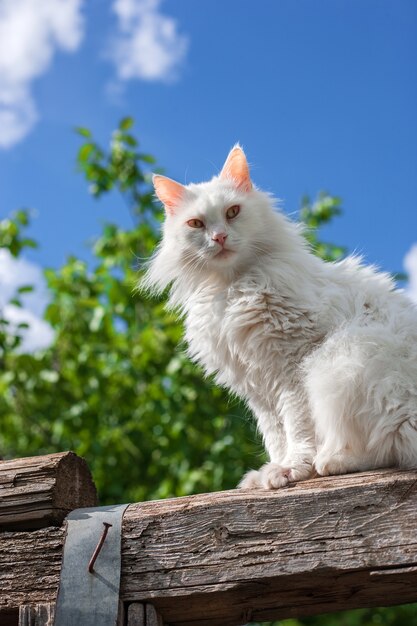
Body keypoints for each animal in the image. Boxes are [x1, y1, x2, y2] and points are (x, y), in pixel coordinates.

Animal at [142, 146, 416, 488]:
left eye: (232, 213)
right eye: (196, 224)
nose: (219, 237)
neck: (232, 288)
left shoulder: (293, 366)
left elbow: (298, 430)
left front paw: (293, 469)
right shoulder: (258, 387)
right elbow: (275, 435)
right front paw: (271, 472)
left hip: (342, 361)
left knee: (388, 448)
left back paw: (331, 461)